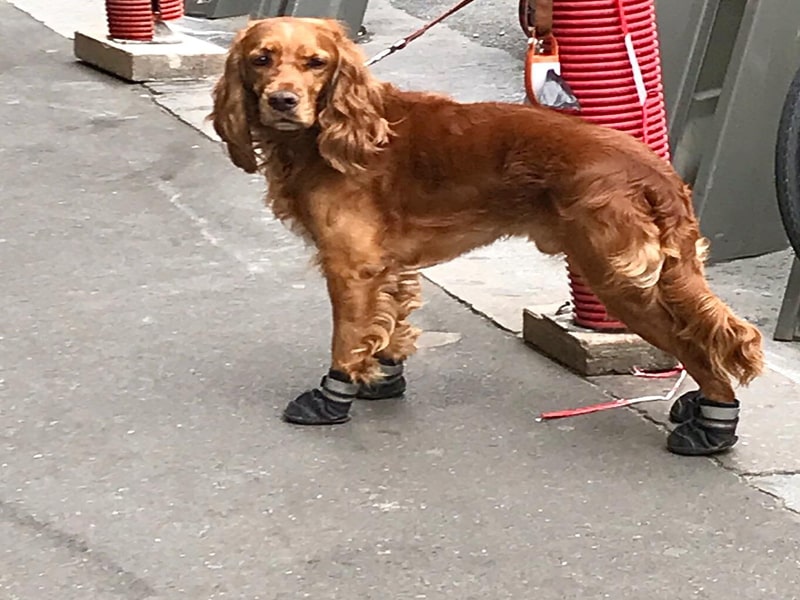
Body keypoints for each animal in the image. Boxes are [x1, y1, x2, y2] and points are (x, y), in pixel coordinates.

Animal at [211, 16, 764, 454]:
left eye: (316, 63)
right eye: (261, 59)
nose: (282, 101)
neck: (333, 131)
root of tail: (654, 170)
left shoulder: (352, 266)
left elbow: (345, 339)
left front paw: (332, 397)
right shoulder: (388, 267)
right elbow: (387, 326)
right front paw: (382, 378)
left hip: (617, 281)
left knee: (696, 345)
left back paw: (713, 426)